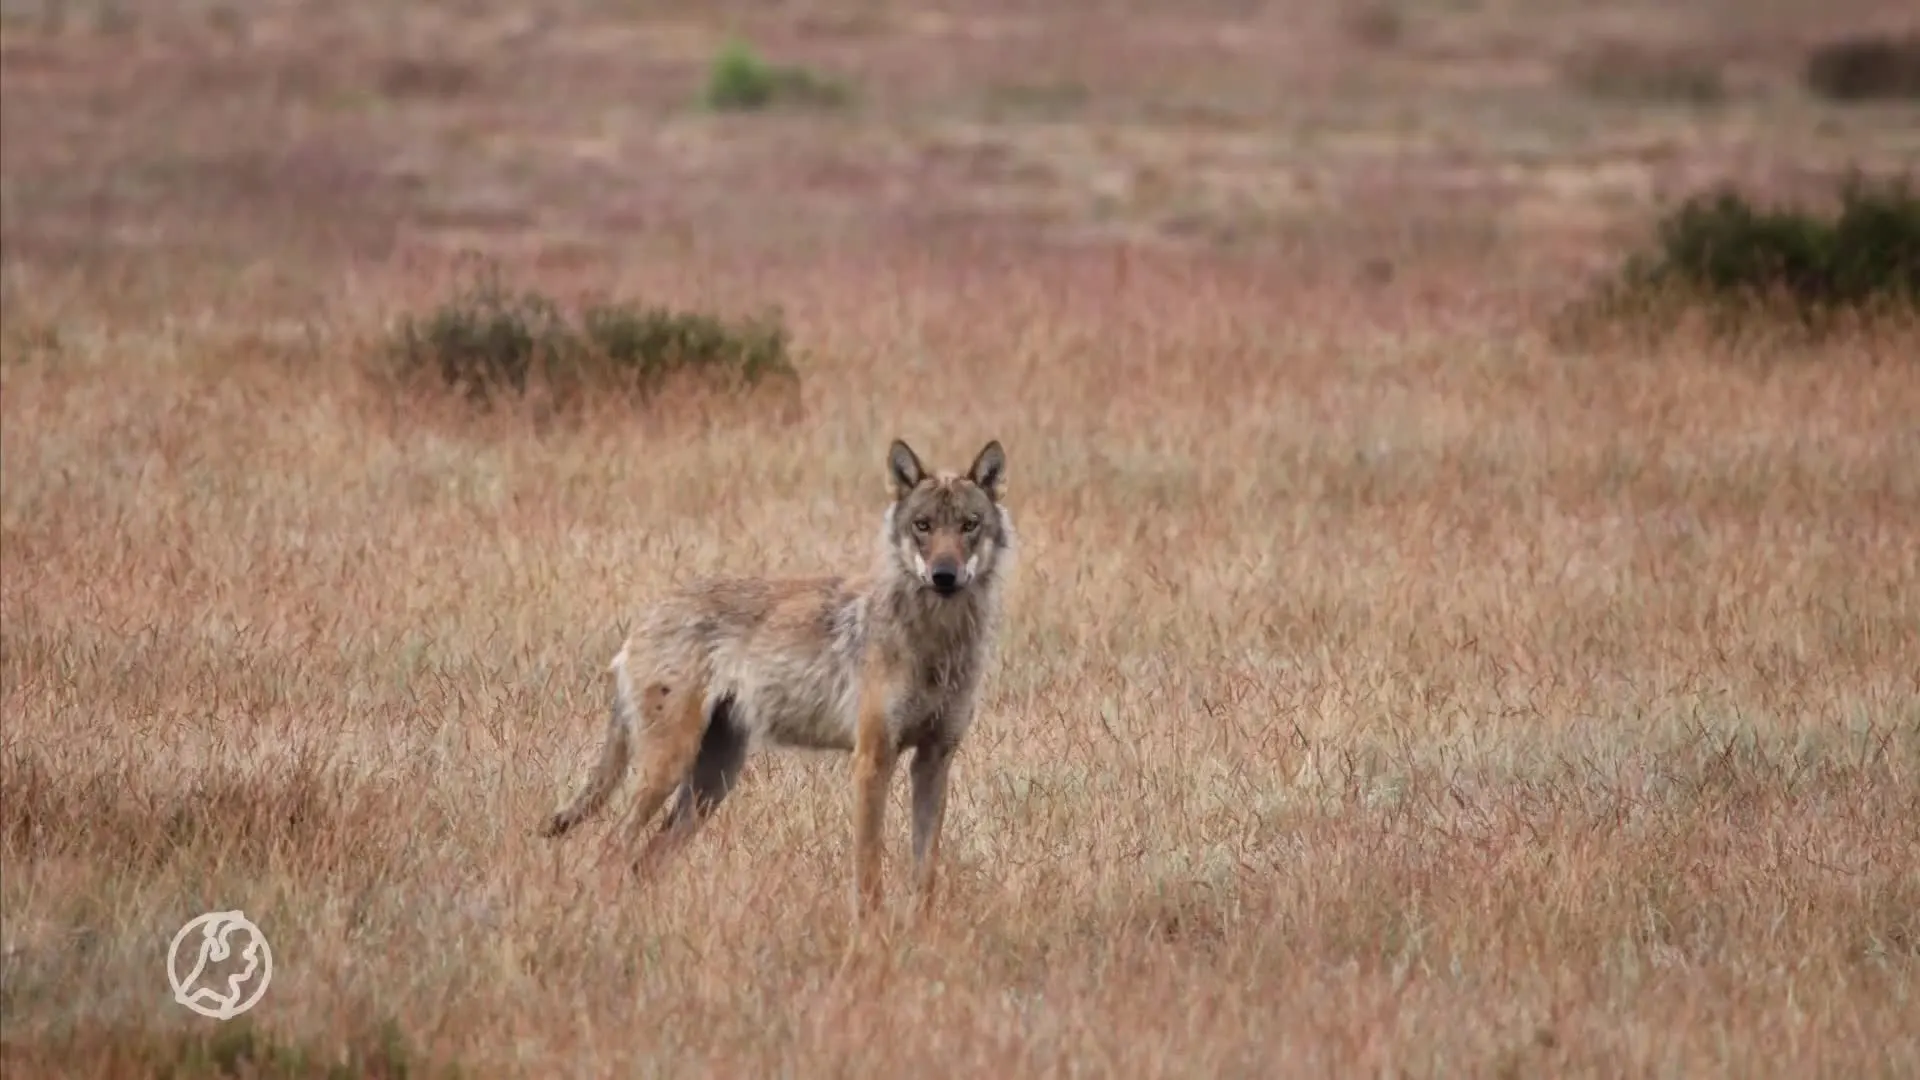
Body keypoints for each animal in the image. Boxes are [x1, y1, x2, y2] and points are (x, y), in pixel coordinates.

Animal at [540, 438, 1015, 922]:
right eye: (923, 526)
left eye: (969, 525)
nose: (944, 576)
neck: (938, 642)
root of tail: (644, 619)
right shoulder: (872, 759)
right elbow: (868, 868)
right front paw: (869, 929)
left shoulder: (934, 760)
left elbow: (925, 871)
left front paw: (920, 929)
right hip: (670, 770)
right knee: (611, 848)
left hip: (711, 784)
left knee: (642, 861)